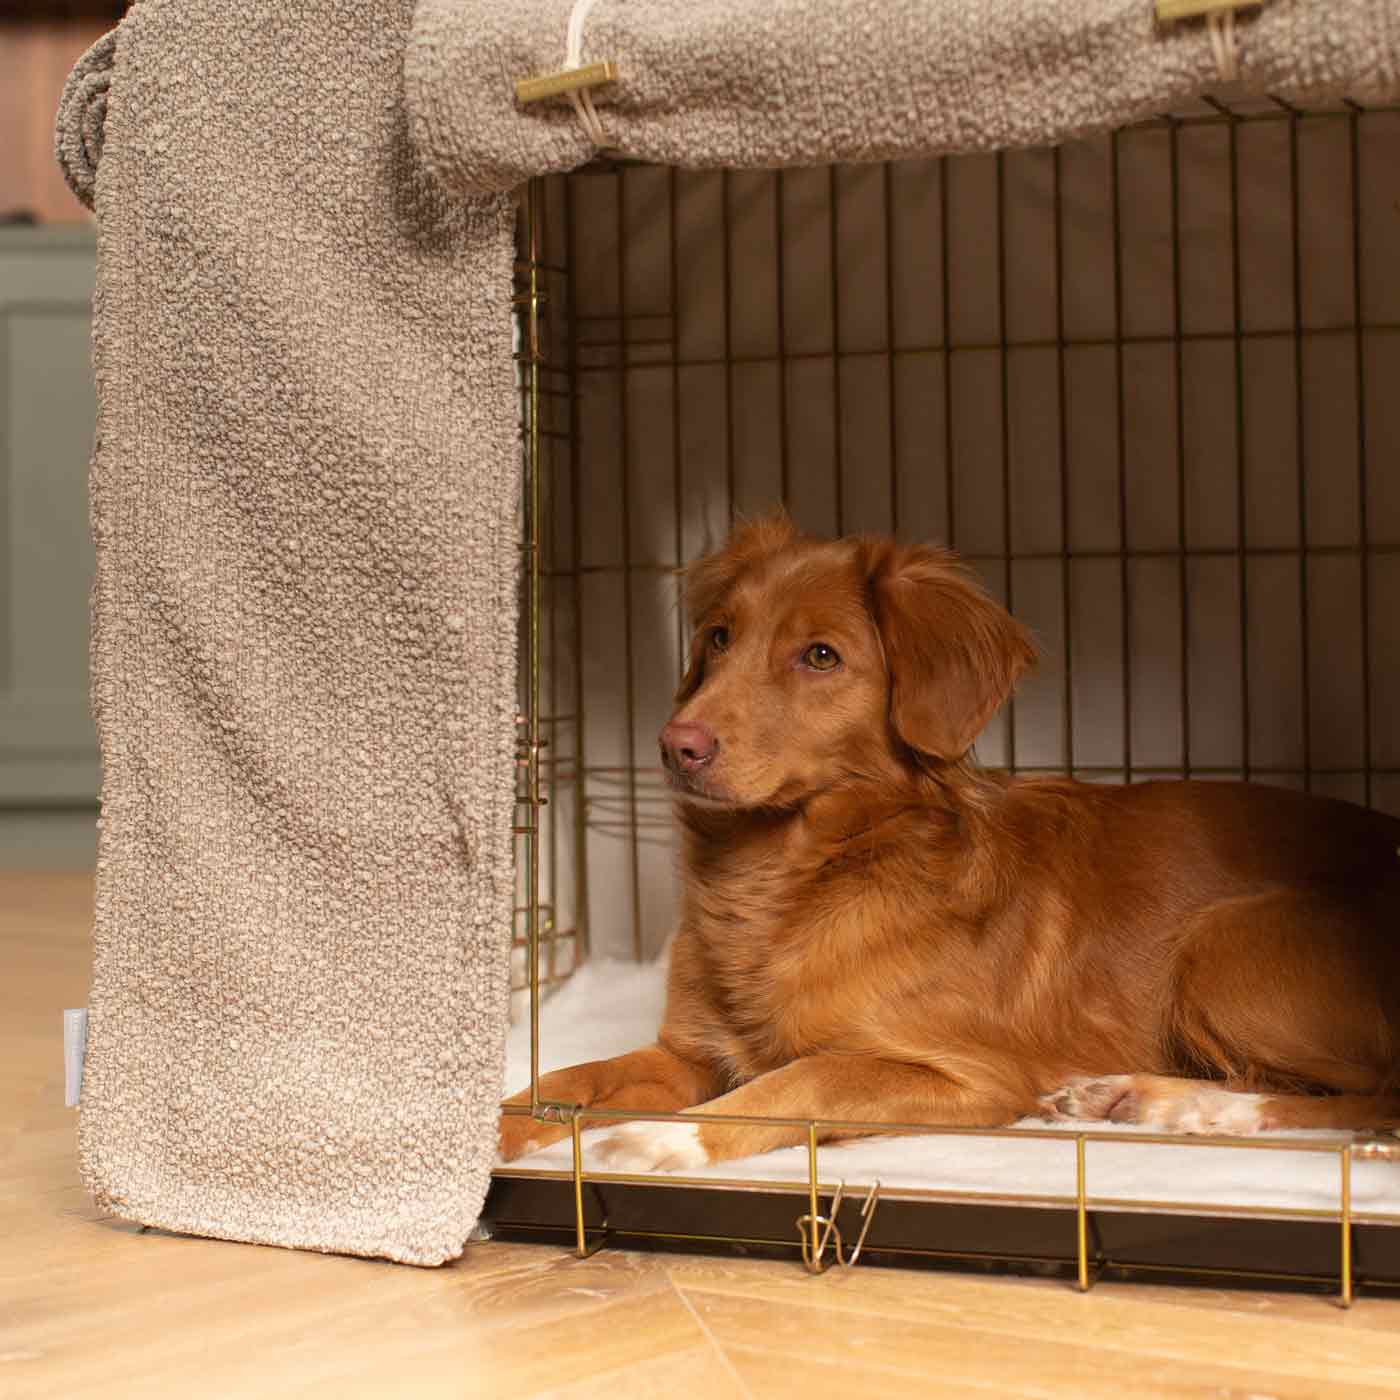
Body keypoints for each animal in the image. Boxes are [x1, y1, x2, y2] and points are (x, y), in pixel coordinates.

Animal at [498, 515, 1400, 1170]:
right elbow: (569, 1077)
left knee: (1379, 1098)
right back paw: (1131, 1096)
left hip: (1224, 939)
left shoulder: (963, 1074)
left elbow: (800, 1079)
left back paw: (1196, 1105)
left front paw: (669, 1136)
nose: (674, 745)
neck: (784, 878)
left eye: (820, 656)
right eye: (719, 637)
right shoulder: (685, 1055)